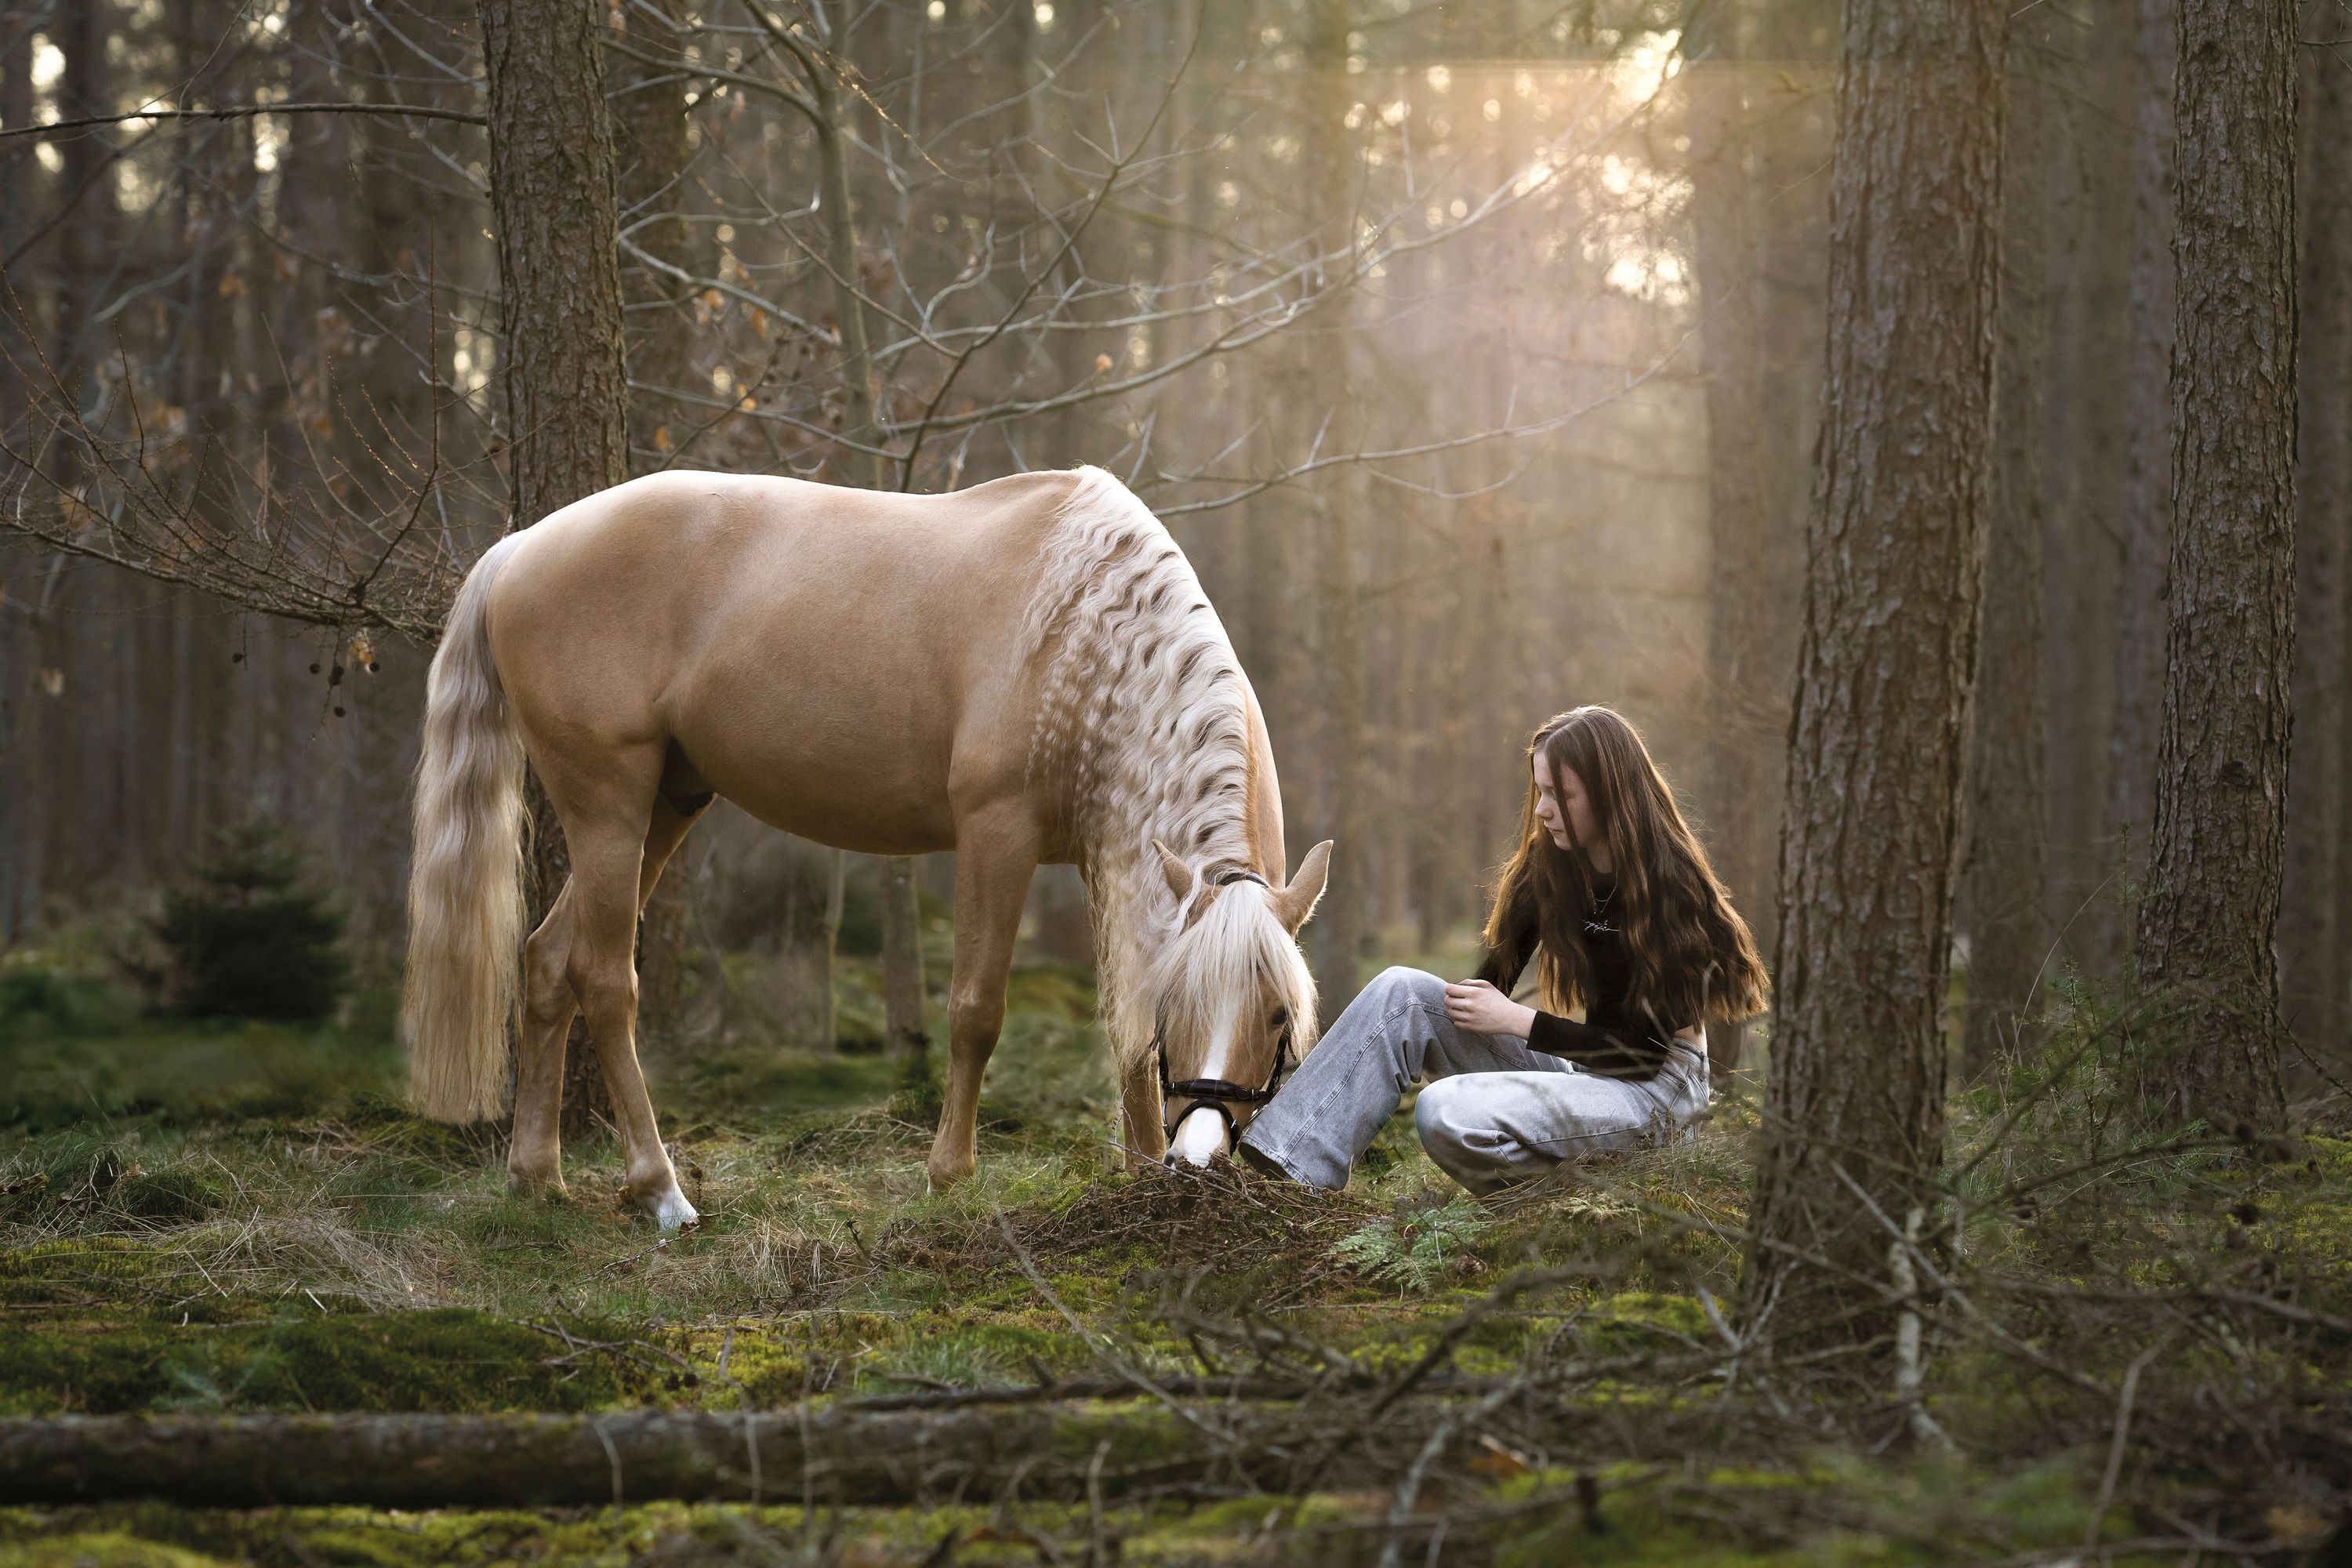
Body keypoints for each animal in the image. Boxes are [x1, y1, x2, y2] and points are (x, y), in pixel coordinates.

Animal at [401, 464, 1332, 1228]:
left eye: (1279, 1015)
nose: (1199, 1163)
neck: (1096, 634)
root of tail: (521, 548)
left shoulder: (1116, 860)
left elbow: (1125, 1021)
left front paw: (1137, 1173)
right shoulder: (997, 834)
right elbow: (976, 1011)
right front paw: (950, 1178)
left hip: (666, 803)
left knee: (546, 959)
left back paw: (537, 1176)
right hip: (611, 806)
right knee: (602, 978)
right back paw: (660, 1189)